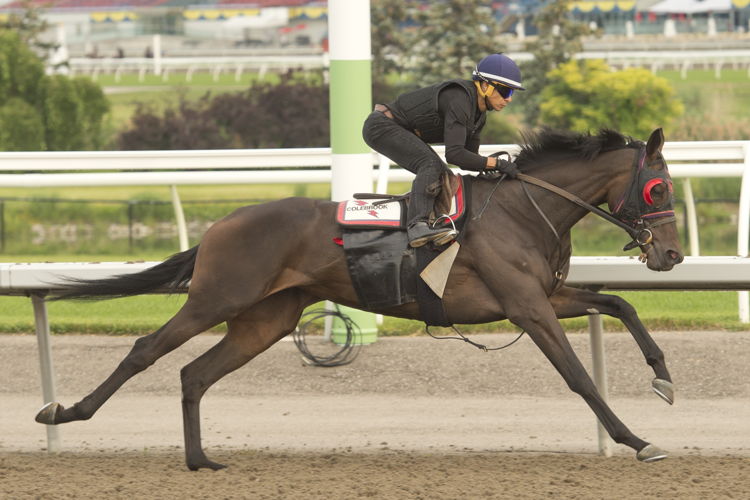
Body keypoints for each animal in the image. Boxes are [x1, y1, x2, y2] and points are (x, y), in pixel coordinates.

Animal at [36, 127, 688, 470]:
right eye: (658, 188)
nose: (672, 256)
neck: (524, 211)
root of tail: (220, 224)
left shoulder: (545, 296)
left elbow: (620, 305)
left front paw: (663, 377)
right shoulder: (526, 306)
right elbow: (579, 377)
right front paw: (637, 441)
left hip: (266, 319)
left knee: (195, 373)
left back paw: (201, 460)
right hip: (217, 299)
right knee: (146, 349)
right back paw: (64, 412)